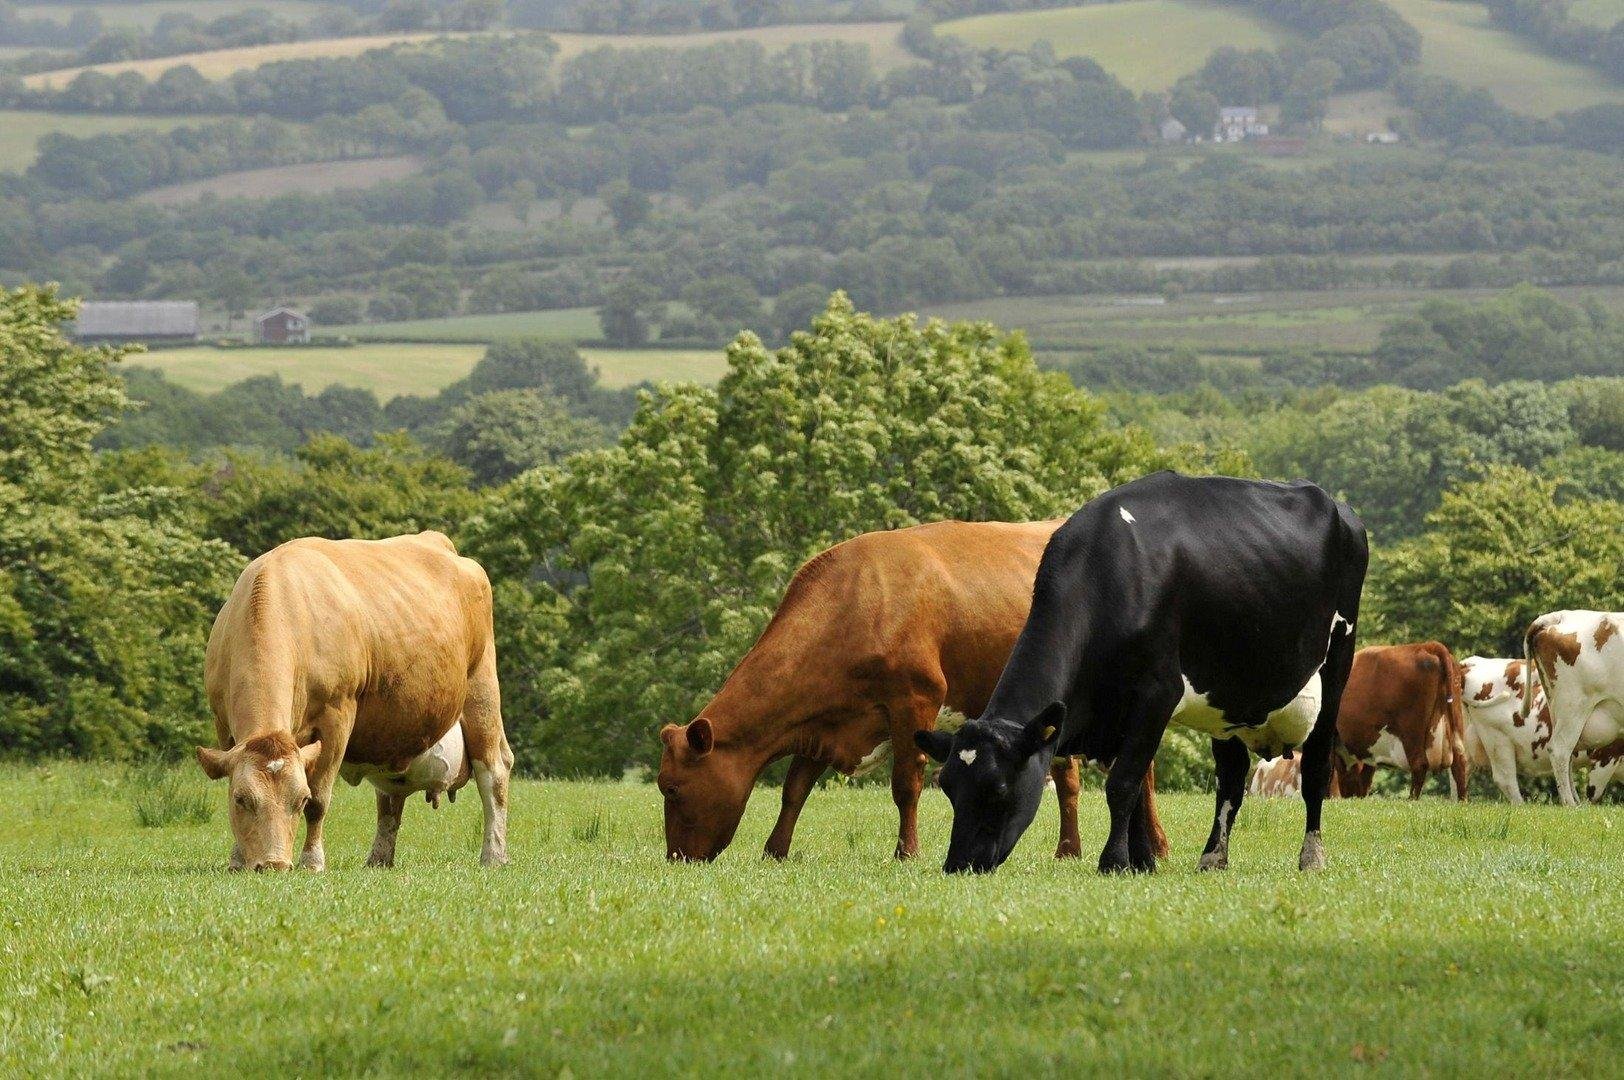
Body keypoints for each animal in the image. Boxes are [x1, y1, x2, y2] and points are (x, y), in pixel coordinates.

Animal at [198, 535, 513, 870]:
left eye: (300, 799)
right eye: (241, 799)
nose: (274, 864)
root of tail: (436, 540)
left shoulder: (337, 715)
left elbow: (320, 801)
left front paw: (312, 861)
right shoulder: (223, 723)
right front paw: (237, 859)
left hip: (482, 690)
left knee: (494, 772)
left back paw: (493, 855)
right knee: (390, 798)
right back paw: (378, 859)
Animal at [649, 519, 1169, 864]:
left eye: (672, 788)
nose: (677, 859)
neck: (854, 604)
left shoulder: (915, 701)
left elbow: (906, 784)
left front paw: (907, 852)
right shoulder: (826, 721)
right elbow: (794, 789)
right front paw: (775, 852)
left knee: (1140, 770)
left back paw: (1156, 846)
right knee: (1069, 777)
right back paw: (1069, 850)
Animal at [922, 474, 1364, 876]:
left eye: (997, 788)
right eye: (948, 787)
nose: (958, 864)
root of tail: (1338, 506)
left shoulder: (1156, 693)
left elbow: (1122, 783)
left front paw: (1114, 862)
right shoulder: (1116, 711)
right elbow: (1133, 789)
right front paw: (1142, 861)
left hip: (1337, 665)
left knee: (1315, 768)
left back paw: (1311, 857)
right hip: (1227, 701)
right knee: (1231, 776)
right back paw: (1213, 858)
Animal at [1331, 639, 1474, 799]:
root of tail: (1427, 646)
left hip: (1411, 731)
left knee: (1419, 764)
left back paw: (1412, 799)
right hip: (1455, 724)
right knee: (1459, 763)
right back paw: (1462, 800)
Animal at [1520, 610, 1624, 805]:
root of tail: (1557, 616)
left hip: (1559, 709)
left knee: (1567, 753)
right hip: (1573, 705)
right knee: (1559, 749)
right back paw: (1569, 803)